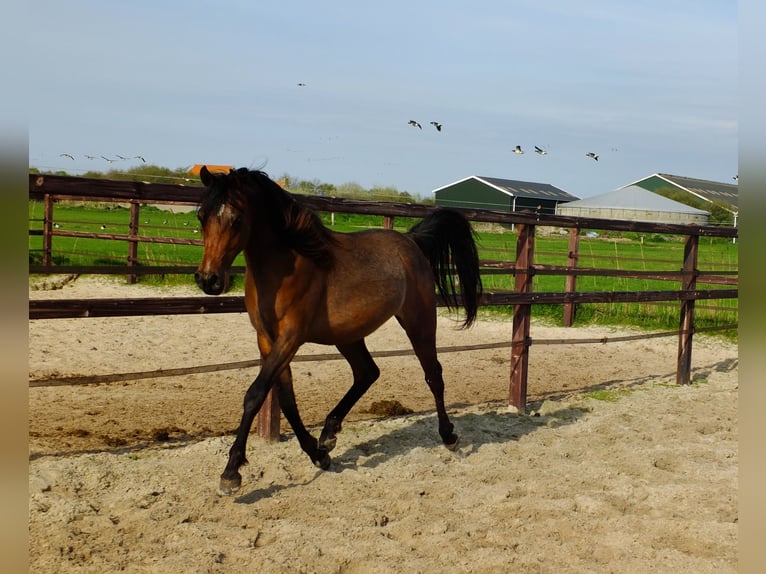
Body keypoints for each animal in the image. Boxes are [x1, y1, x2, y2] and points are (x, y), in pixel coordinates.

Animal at [196, 166, 486, 496]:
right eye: (201, 216)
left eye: (237, 219)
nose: (209, 280)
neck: (285, 267)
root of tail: (411, 241)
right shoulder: (267, 340)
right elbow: (286, 400)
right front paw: (318, 455)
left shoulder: (290, 338)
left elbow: (255, 394)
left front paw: (231, 472)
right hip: (347, 335)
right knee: (367, 372)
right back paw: (329, 433)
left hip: (419, 320)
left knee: (432, 375)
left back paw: (449, 436)